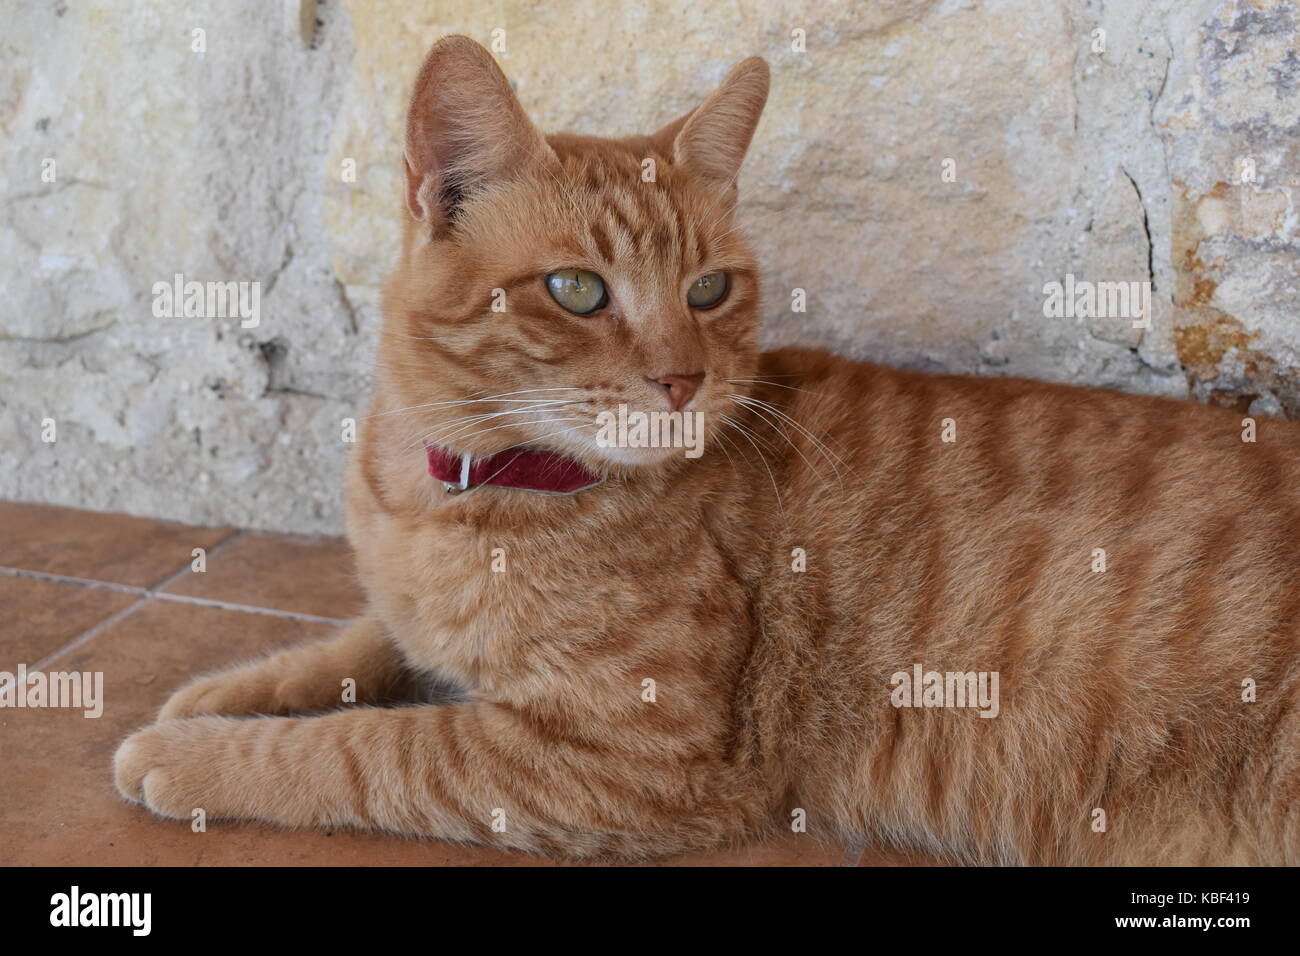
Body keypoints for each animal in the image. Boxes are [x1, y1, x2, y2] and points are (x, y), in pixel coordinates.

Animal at [114, 35, 1300, 868]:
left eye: (709, 289)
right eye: (577, 289)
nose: (682, 378)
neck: (458, 487)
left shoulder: (632, 759)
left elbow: (368, 747)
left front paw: (191, 752)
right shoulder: (416, 624)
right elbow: (351, 645)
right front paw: (218, 693)